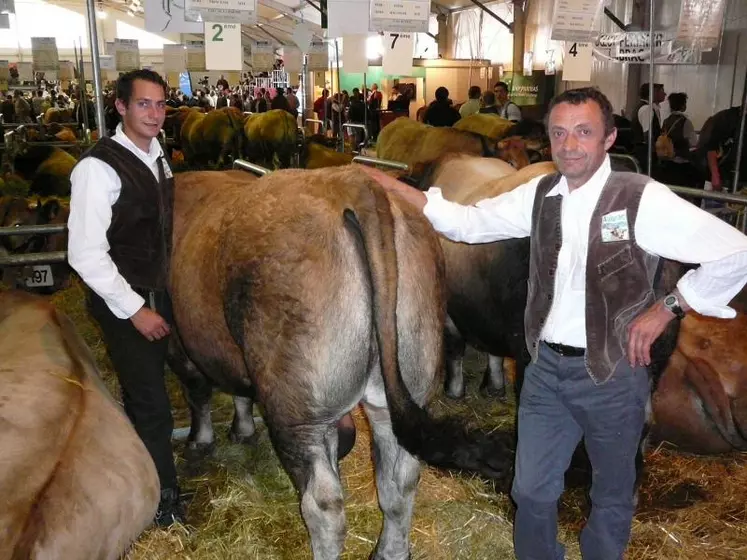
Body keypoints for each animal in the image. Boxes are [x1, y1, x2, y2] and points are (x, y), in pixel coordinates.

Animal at [167, 168, 512, 556]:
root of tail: (350, 180)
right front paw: (241, 430)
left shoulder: (177, 339)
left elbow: (198, 391)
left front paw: (201, 440)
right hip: (400, 381)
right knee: (400, 478)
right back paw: (389, 551)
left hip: (300, 411)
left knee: (324, 506)